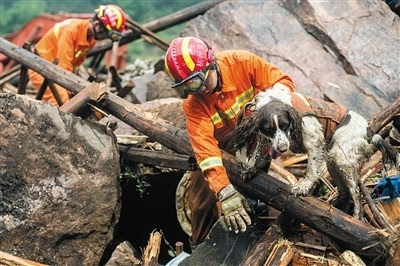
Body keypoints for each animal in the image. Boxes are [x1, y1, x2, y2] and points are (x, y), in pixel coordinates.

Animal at [227, 87, 398, 218]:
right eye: (269, 129)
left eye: (285, 124)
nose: (282, 149)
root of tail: (369, 132)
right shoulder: (265, 137)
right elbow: (259, 152)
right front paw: (251, 168)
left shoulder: (315, 142)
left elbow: (311, 169)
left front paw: (303, 186)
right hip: (333, 162)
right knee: (345, 191)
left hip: (341, 157)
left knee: (356, 193)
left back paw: (356, 217)